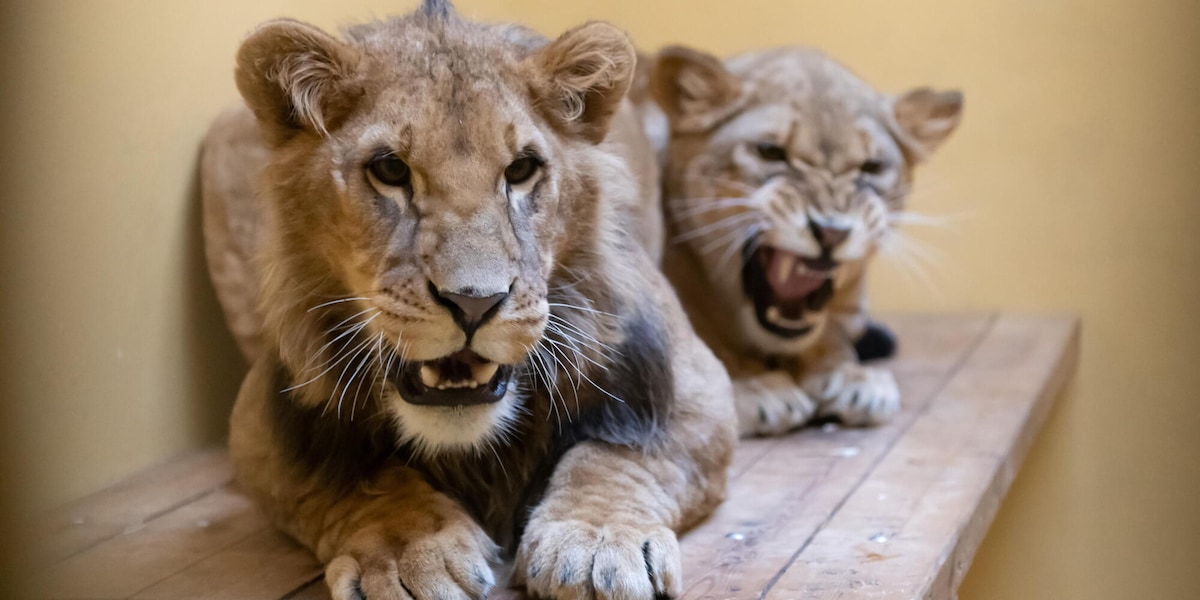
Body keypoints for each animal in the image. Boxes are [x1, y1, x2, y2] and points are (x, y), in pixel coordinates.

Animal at [200, 2, 734, 599]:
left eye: (521, 170)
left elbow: (617, 454)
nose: (473, 304)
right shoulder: (262, 427)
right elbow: (363, 480)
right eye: (389, 170)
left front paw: (595, 544)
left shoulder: (692, 385)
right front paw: (409, 554)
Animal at [646, 46, 963, 436]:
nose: (831, 231)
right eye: (769, 151)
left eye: (872, 167)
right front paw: (756, 388)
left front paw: (853, 380)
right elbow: (699, 339)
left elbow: (833, 341)